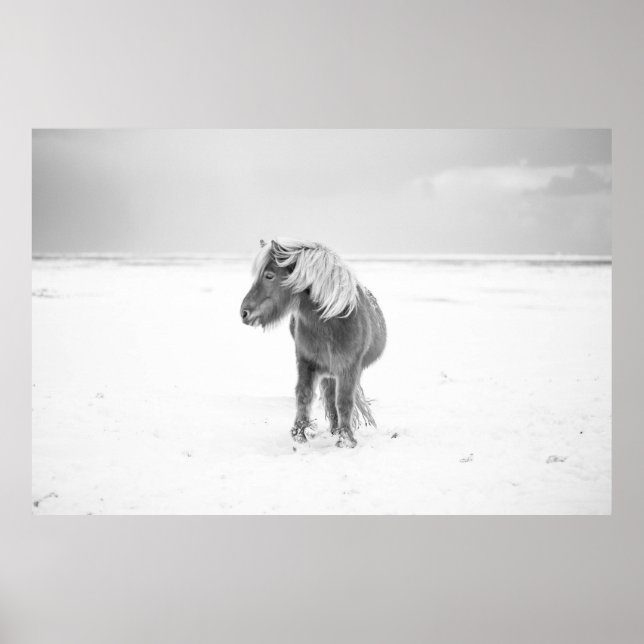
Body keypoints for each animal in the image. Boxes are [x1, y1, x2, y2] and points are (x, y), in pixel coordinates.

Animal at [240, 238, 386, 448]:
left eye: (269, 275)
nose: (244, 312)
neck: (331, 323)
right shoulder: (306, 362)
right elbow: (304, 394)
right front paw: (299, 435)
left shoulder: (349, 368)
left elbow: (344, 401)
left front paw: (346, 440)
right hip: (328, 373)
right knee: (330, 400)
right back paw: (333, 430)